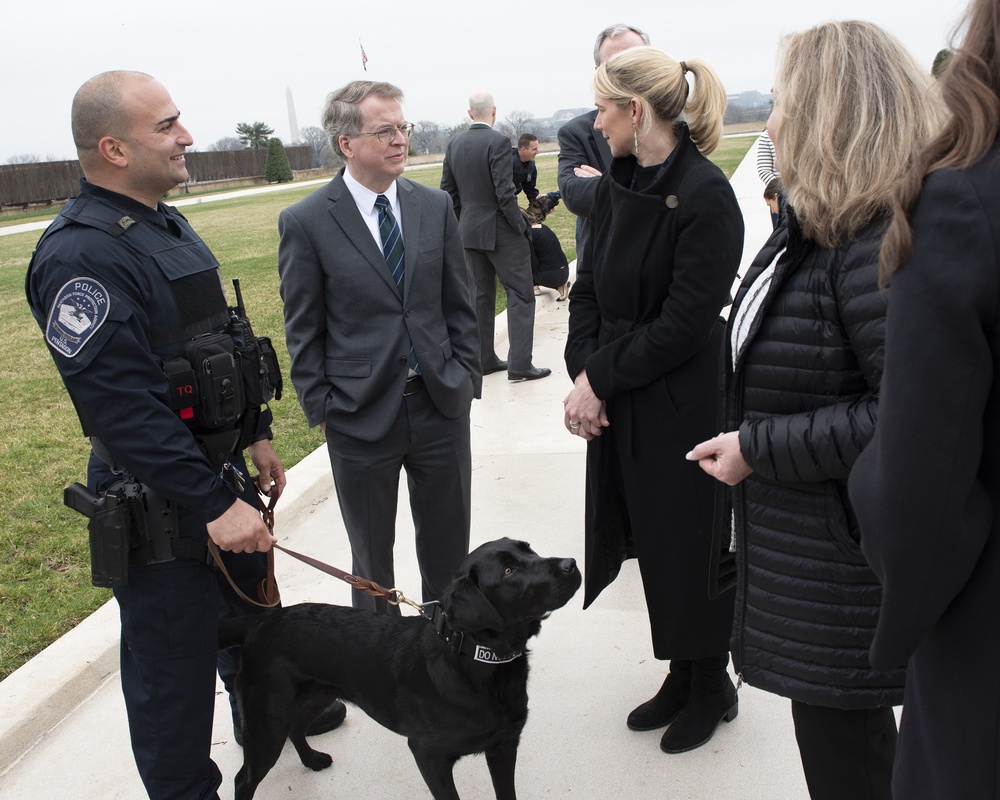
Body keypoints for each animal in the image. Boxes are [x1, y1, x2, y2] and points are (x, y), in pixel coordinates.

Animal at [217, 536, 580, 800]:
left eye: (529, 549)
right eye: (508, 572)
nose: (572, 564)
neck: (473, 660)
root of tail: (258, 622)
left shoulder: (504, 746)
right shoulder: (429, 755)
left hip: (314, 697)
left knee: (296, 729)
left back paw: (312, 760)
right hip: (267, 723)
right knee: (243, 779)